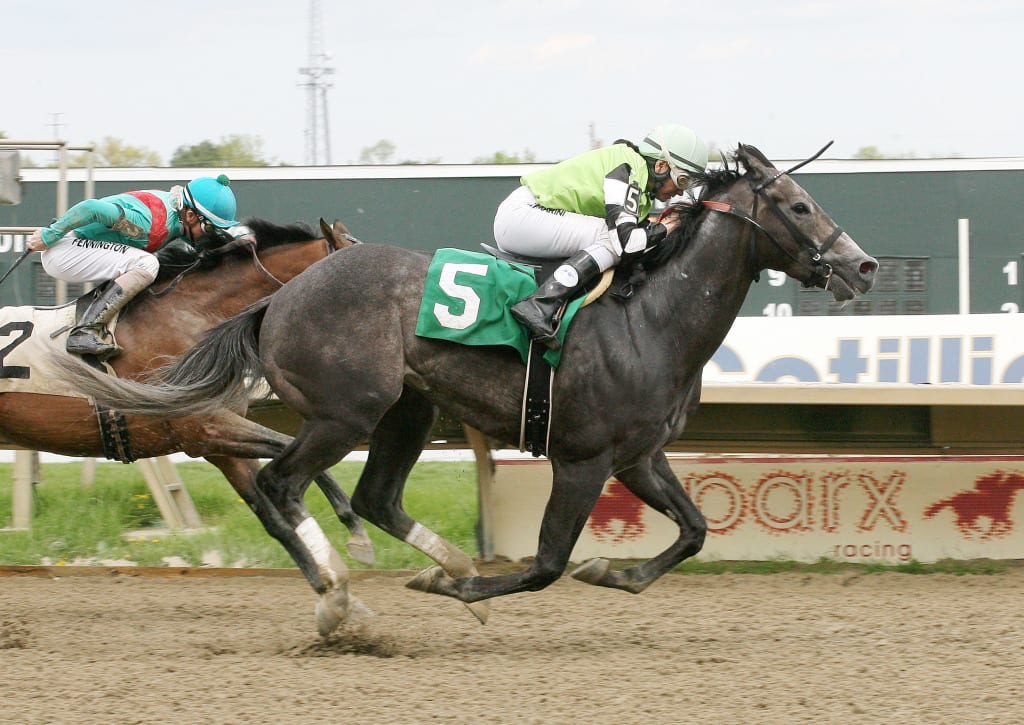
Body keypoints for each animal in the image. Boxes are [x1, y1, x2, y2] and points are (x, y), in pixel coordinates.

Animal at [0, 219, 376, 622]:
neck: (191, 314)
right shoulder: (204, 427)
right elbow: (288, 451)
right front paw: (356, 534)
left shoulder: (221, 447)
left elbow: (274, 517)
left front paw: (335, 596)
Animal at [51, 145, 876, 634]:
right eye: (798, 206)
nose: (862, 265)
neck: (649, 318)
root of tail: (276, 298)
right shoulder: (582, 458)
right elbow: (544, 564)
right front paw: (469, 590)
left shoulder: (638, 456)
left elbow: (697, 529)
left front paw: (615, 570)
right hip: (347, 410)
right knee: (283, 485)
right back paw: (345, 599)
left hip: (408, 408)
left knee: (374, 494)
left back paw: (443, 559)